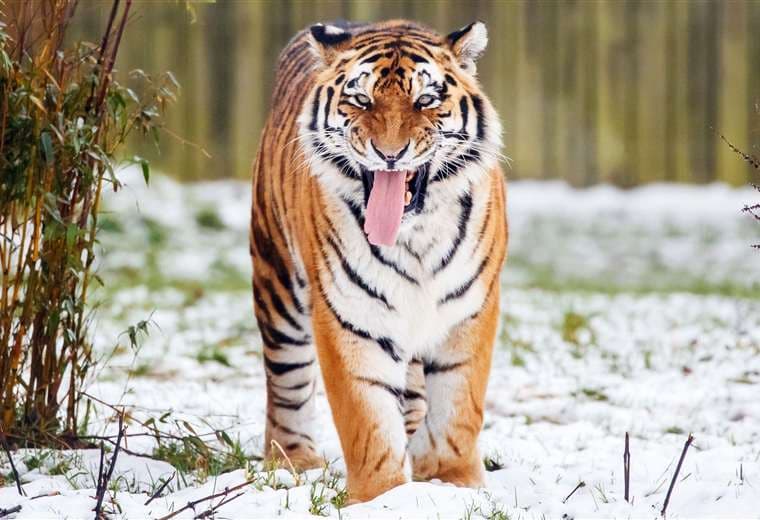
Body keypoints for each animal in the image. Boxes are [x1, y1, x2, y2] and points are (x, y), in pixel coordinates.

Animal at [250, 19, 507, 503]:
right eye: (361, 99)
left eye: (425, 100)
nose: (390, 153)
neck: (415, 235)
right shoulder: (350, 316)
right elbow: (367, 418)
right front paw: (382, 497)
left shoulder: (470, 310)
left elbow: (458, 406)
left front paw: (454, 481)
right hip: (278, 284)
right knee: (286, 380)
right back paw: (294, 460)